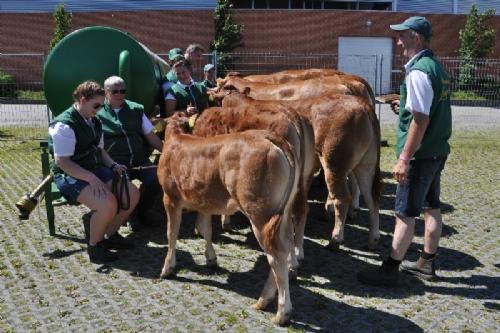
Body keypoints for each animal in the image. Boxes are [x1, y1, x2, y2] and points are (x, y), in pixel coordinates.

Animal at [159, 112, 300, 324]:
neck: (177, 137)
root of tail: (269, 136)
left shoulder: (170, 198)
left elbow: (171, 233)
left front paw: (167, 268)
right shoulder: (204, 202)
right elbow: (205, 229)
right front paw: (211, 259)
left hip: (260, 214)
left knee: (276, 256)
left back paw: (280, 313)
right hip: (282, 214)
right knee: (286, 246)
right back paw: (264, 302)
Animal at [221, 91, 380, 249]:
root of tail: (362, 104)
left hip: (334, 164)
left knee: (342, 198)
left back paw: (335, 239)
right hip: (365, 164)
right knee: (371, 196)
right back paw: (372, 238)